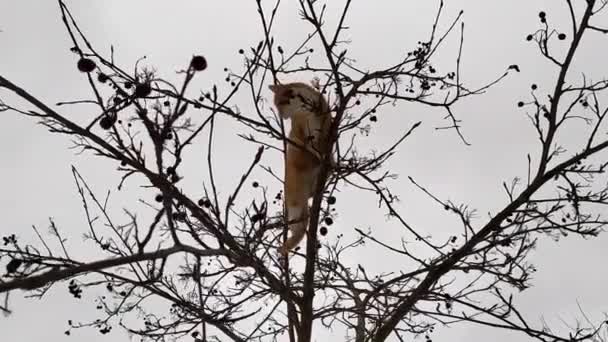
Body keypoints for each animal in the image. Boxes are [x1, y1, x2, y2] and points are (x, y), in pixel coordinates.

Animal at [268, 81, 330, 255]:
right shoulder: (301, 132)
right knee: (298, 231)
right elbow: (310, 145)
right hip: (296, 206)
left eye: (280, 104)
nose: (281, 116)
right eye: (276, 106)